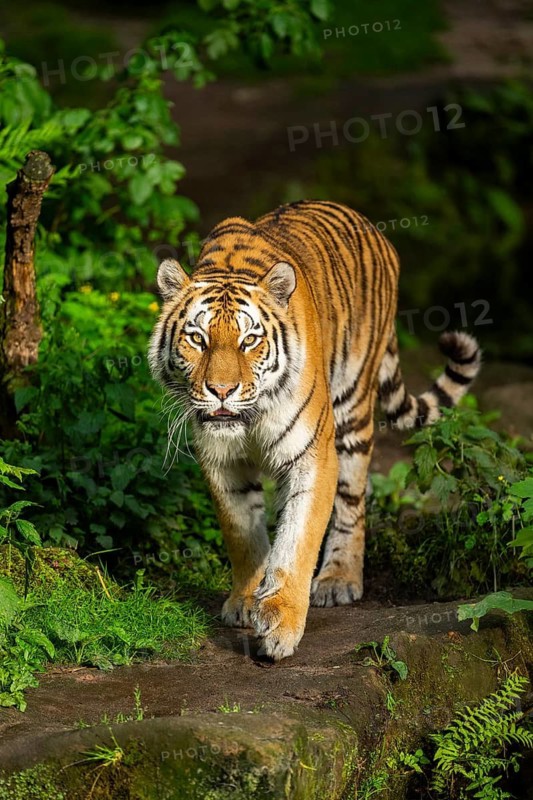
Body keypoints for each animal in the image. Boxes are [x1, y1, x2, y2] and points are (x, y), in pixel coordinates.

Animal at [148, 199, 481, 661]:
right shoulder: (222, 461)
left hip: (353, 410)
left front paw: (281, 626)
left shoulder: (312, 456)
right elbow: (241, 533)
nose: (221, 391)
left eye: (250, 340)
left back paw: (340, 579)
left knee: (353, 502)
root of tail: (366, 222)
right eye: (197, 338)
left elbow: (297, 542)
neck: (248, 420)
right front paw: (245, 599)